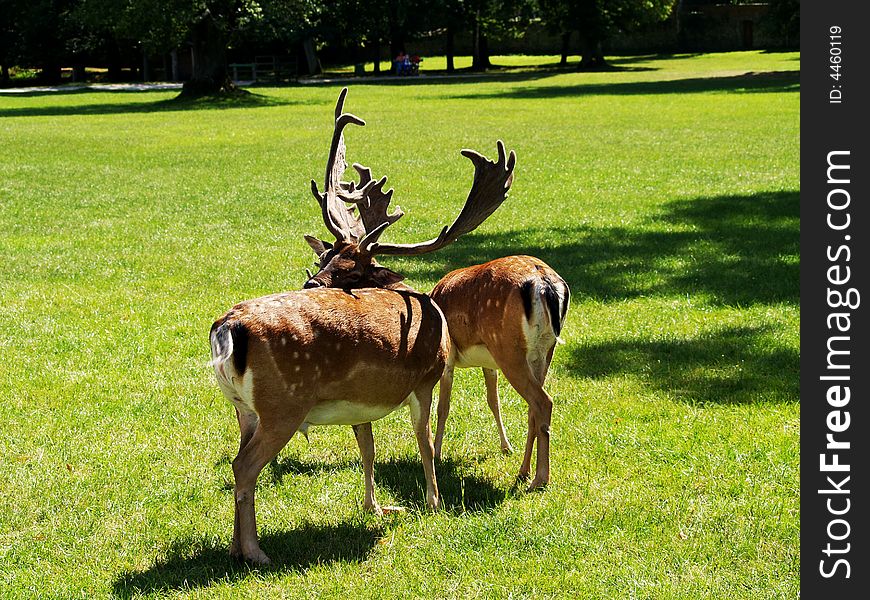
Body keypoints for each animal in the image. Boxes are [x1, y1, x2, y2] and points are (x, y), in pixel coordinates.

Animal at [209, 88, 516, 564]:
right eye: (326, 257)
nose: (310, 282)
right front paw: (435, 502)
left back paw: (235, 547)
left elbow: (367, 449)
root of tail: (227, 329)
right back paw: (255, 553)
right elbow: (426, 442)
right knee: (243, 467)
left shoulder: (360, 401)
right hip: (283, 404)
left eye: (348, 264)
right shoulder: (425, 376)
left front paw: (376, 507)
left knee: (237, 458)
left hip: (244, 410)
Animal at [304, 90, 568, 492]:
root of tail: (544, 283)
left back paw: (539, 478)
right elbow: (491, 399)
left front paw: (439, 454)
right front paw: (501, 449)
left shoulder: (447, 359)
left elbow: (442, 407)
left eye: (354, 271)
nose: (310, 283)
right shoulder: (483, 363)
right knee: (533, 407)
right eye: (327, 258)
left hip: (509, 346)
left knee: (543, 403)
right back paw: (524, 471)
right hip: (544, 350)